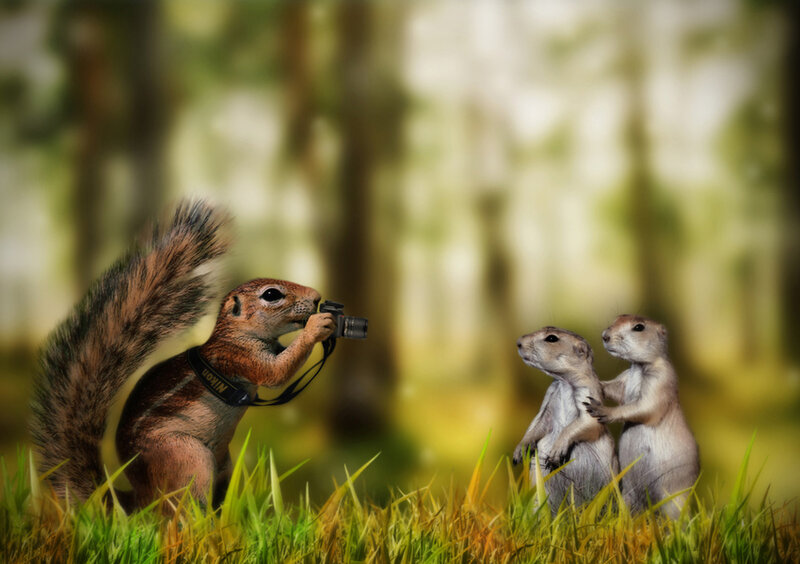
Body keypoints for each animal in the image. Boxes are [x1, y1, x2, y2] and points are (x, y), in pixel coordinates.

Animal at [30, 201, 336, 510]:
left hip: (223, 466)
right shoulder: (235, 356)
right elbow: (275, 374)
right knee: (179, 512)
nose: (316, 296)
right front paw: (317, 326)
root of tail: (141, 497)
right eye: (272, 294)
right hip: (185, 456)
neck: (235, 334)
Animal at [513, 327, 618, 513]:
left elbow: (586, 422)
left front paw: (556, 452)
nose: (518, 342)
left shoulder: (588, 391)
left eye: (551, 338)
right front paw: (520, 450)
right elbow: (538, 422)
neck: (564, 382)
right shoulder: (549, 396)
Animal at [584, 315, 700, 518]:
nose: (604, 335)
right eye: (617, 318)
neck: (638, 367)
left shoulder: (661, 380)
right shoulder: (625, 377)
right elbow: (615, 388)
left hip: (674, 497)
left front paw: (602, 409)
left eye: (639, 327)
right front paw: (597, 382)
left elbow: (644, 406)